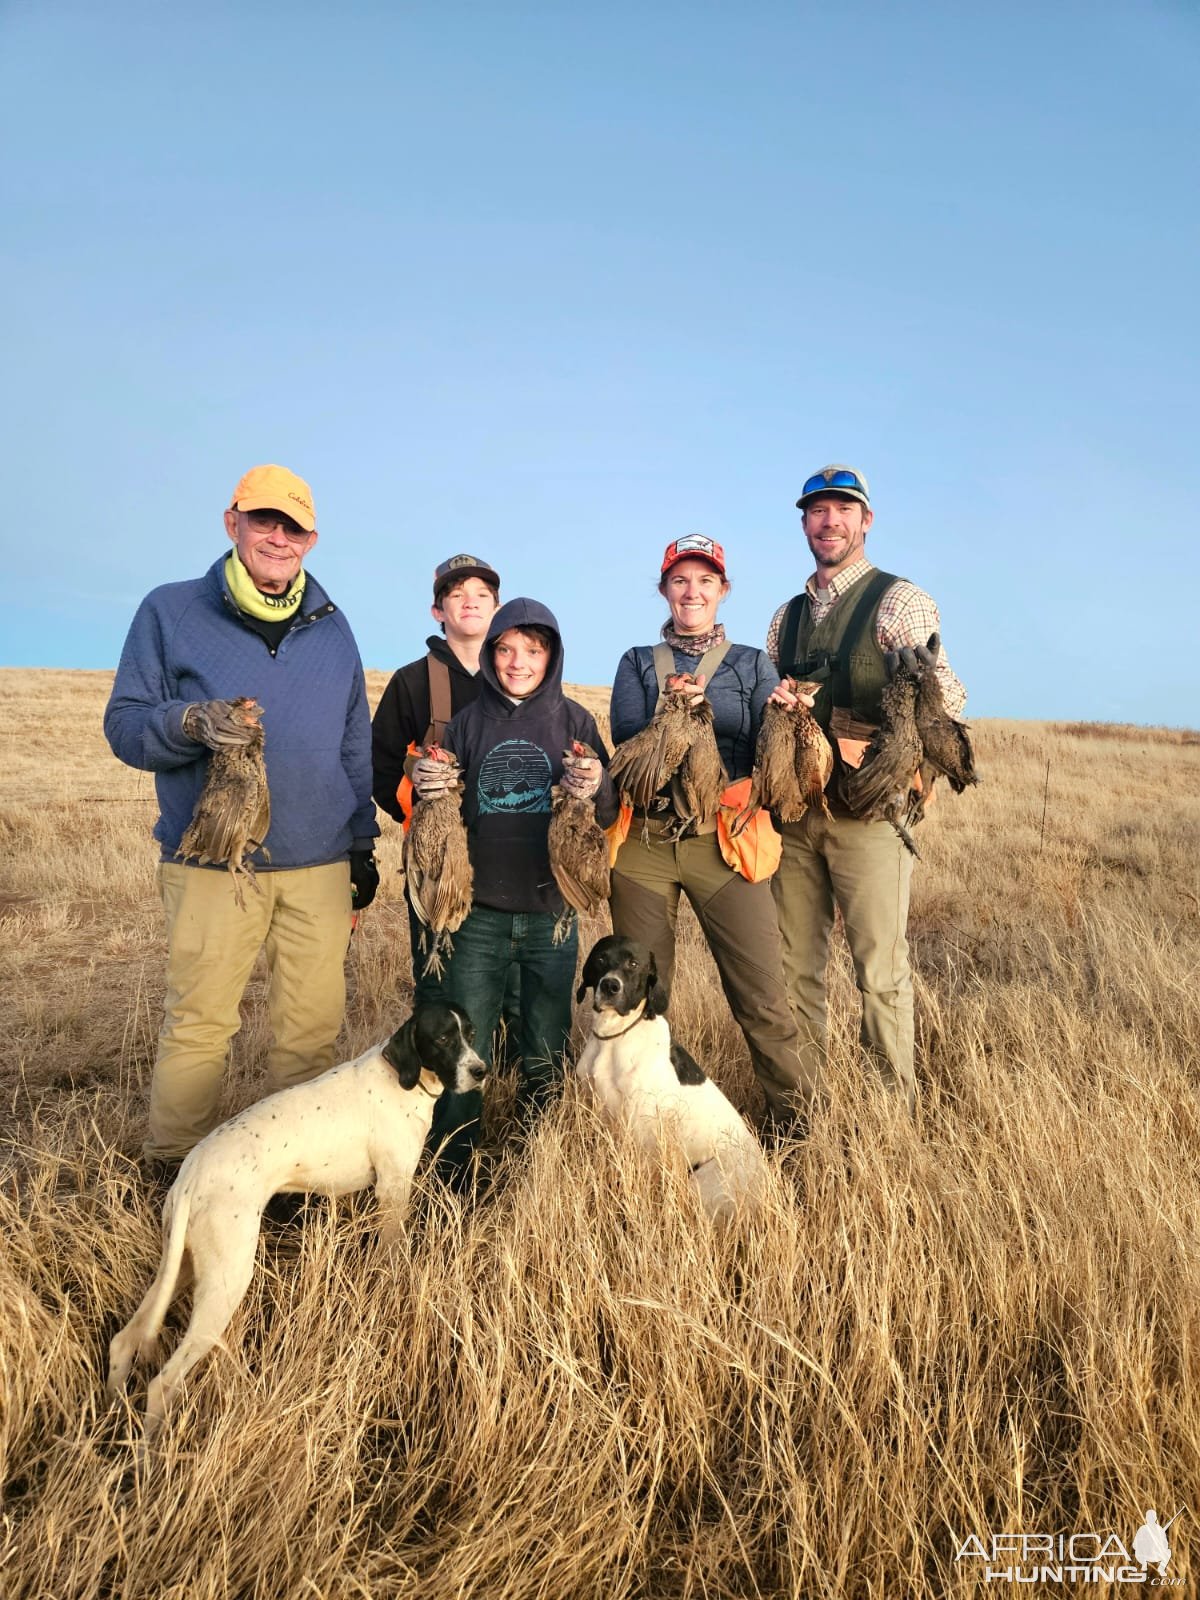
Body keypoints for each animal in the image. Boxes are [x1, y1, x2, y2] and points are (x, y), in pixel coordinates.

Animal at [105, 998, 486, 1440]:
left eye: (470, 1033)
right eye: (442, 1038)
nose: (481, 1070)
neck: (401, 1078)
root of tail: (191, 1174)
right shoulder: (392, 1189)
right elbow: (394, 1256)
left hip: (181, 1265)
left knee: (124, 1341)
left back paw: (110, 1415)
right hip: (226, 1280)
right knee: (162, 1381)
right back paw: (153, 1450)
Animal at [576, 934, 771, 1216]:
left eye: (633, 964)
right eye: (601, 958)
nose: (610, 985)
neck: (614, 1037)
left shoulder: (639, 1130)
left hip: (701, 1180)